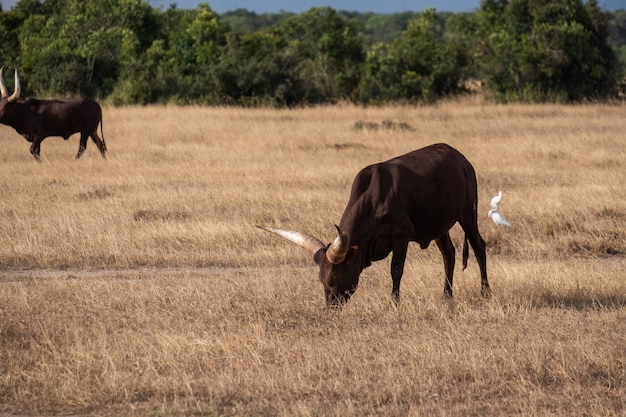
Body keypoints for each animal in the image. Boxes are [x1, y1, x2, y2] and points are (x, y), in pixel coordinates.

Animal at [258, 143, 488, 306]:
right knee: (448, 254)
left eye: (333, 278)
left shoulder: (401, 237)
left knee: (479, 246)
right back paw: (447, 296)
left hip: (468, 214)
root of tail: (460, 158)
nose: (330, 307)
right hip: (441, 226)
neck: (374, 198)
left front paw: (394, 302)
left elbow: (396, 269)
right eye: (321, 280)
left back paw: (485, 292)